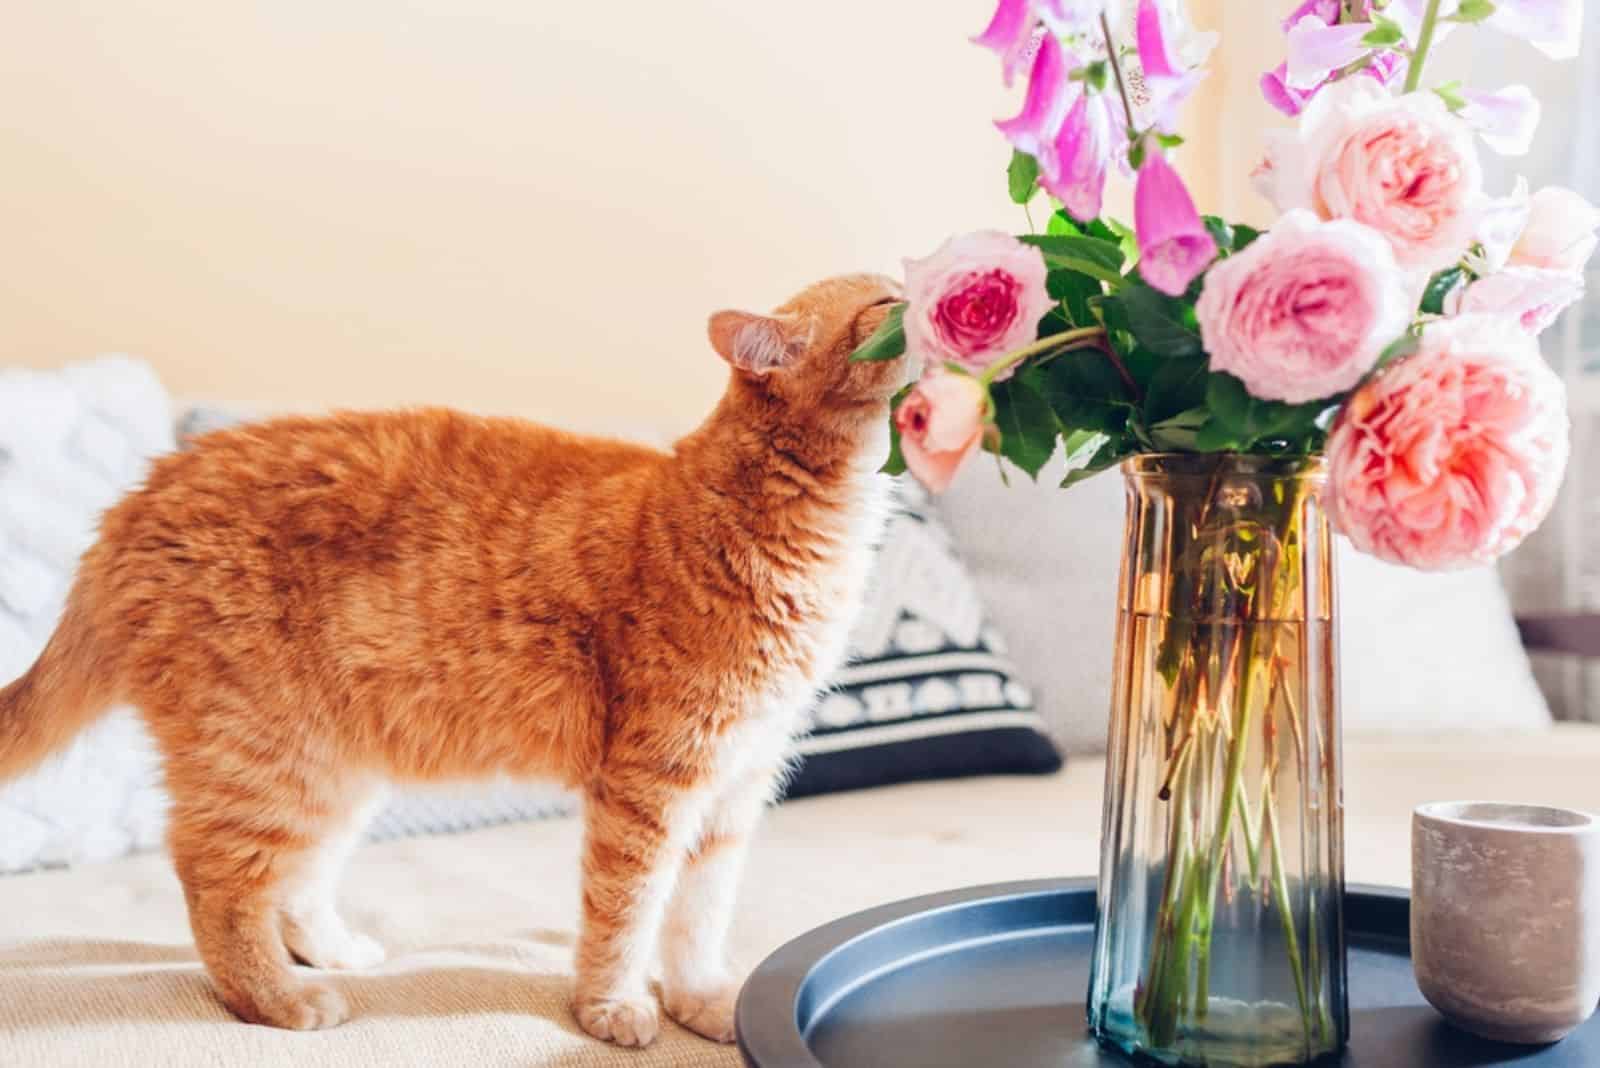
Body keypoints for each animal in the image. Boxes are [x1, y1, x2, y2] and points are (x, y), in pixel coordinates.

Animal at [0, 273, 902, 1042]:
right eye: (888, 301)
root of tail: (136, 498)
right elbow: (626, 912)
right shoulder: (653, 784)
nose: (920, 293)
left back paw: (334, 953)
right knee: (216, 883)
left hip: (335, 772)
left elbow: (699, 915)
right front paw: (611, 1007)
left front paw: (704, 1001)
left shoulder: (736, 786)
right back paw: (280, 1000)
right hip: (266, 759)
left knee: (294, 883)